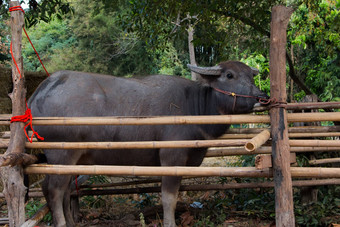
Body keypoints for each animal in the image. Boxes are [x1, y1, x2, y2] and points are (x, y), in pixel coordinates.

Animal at [28, 60, 268, 227]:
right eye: (229, 75)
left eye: (250, 75)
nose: (261, 97)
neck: (195, 105)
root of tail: (39, 92)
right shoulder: (171, 159)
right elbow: (169, 197)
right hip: (62, 153)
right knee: (54, 189)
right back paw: (61, 222)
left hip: (73, 159)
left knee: (63, 189)